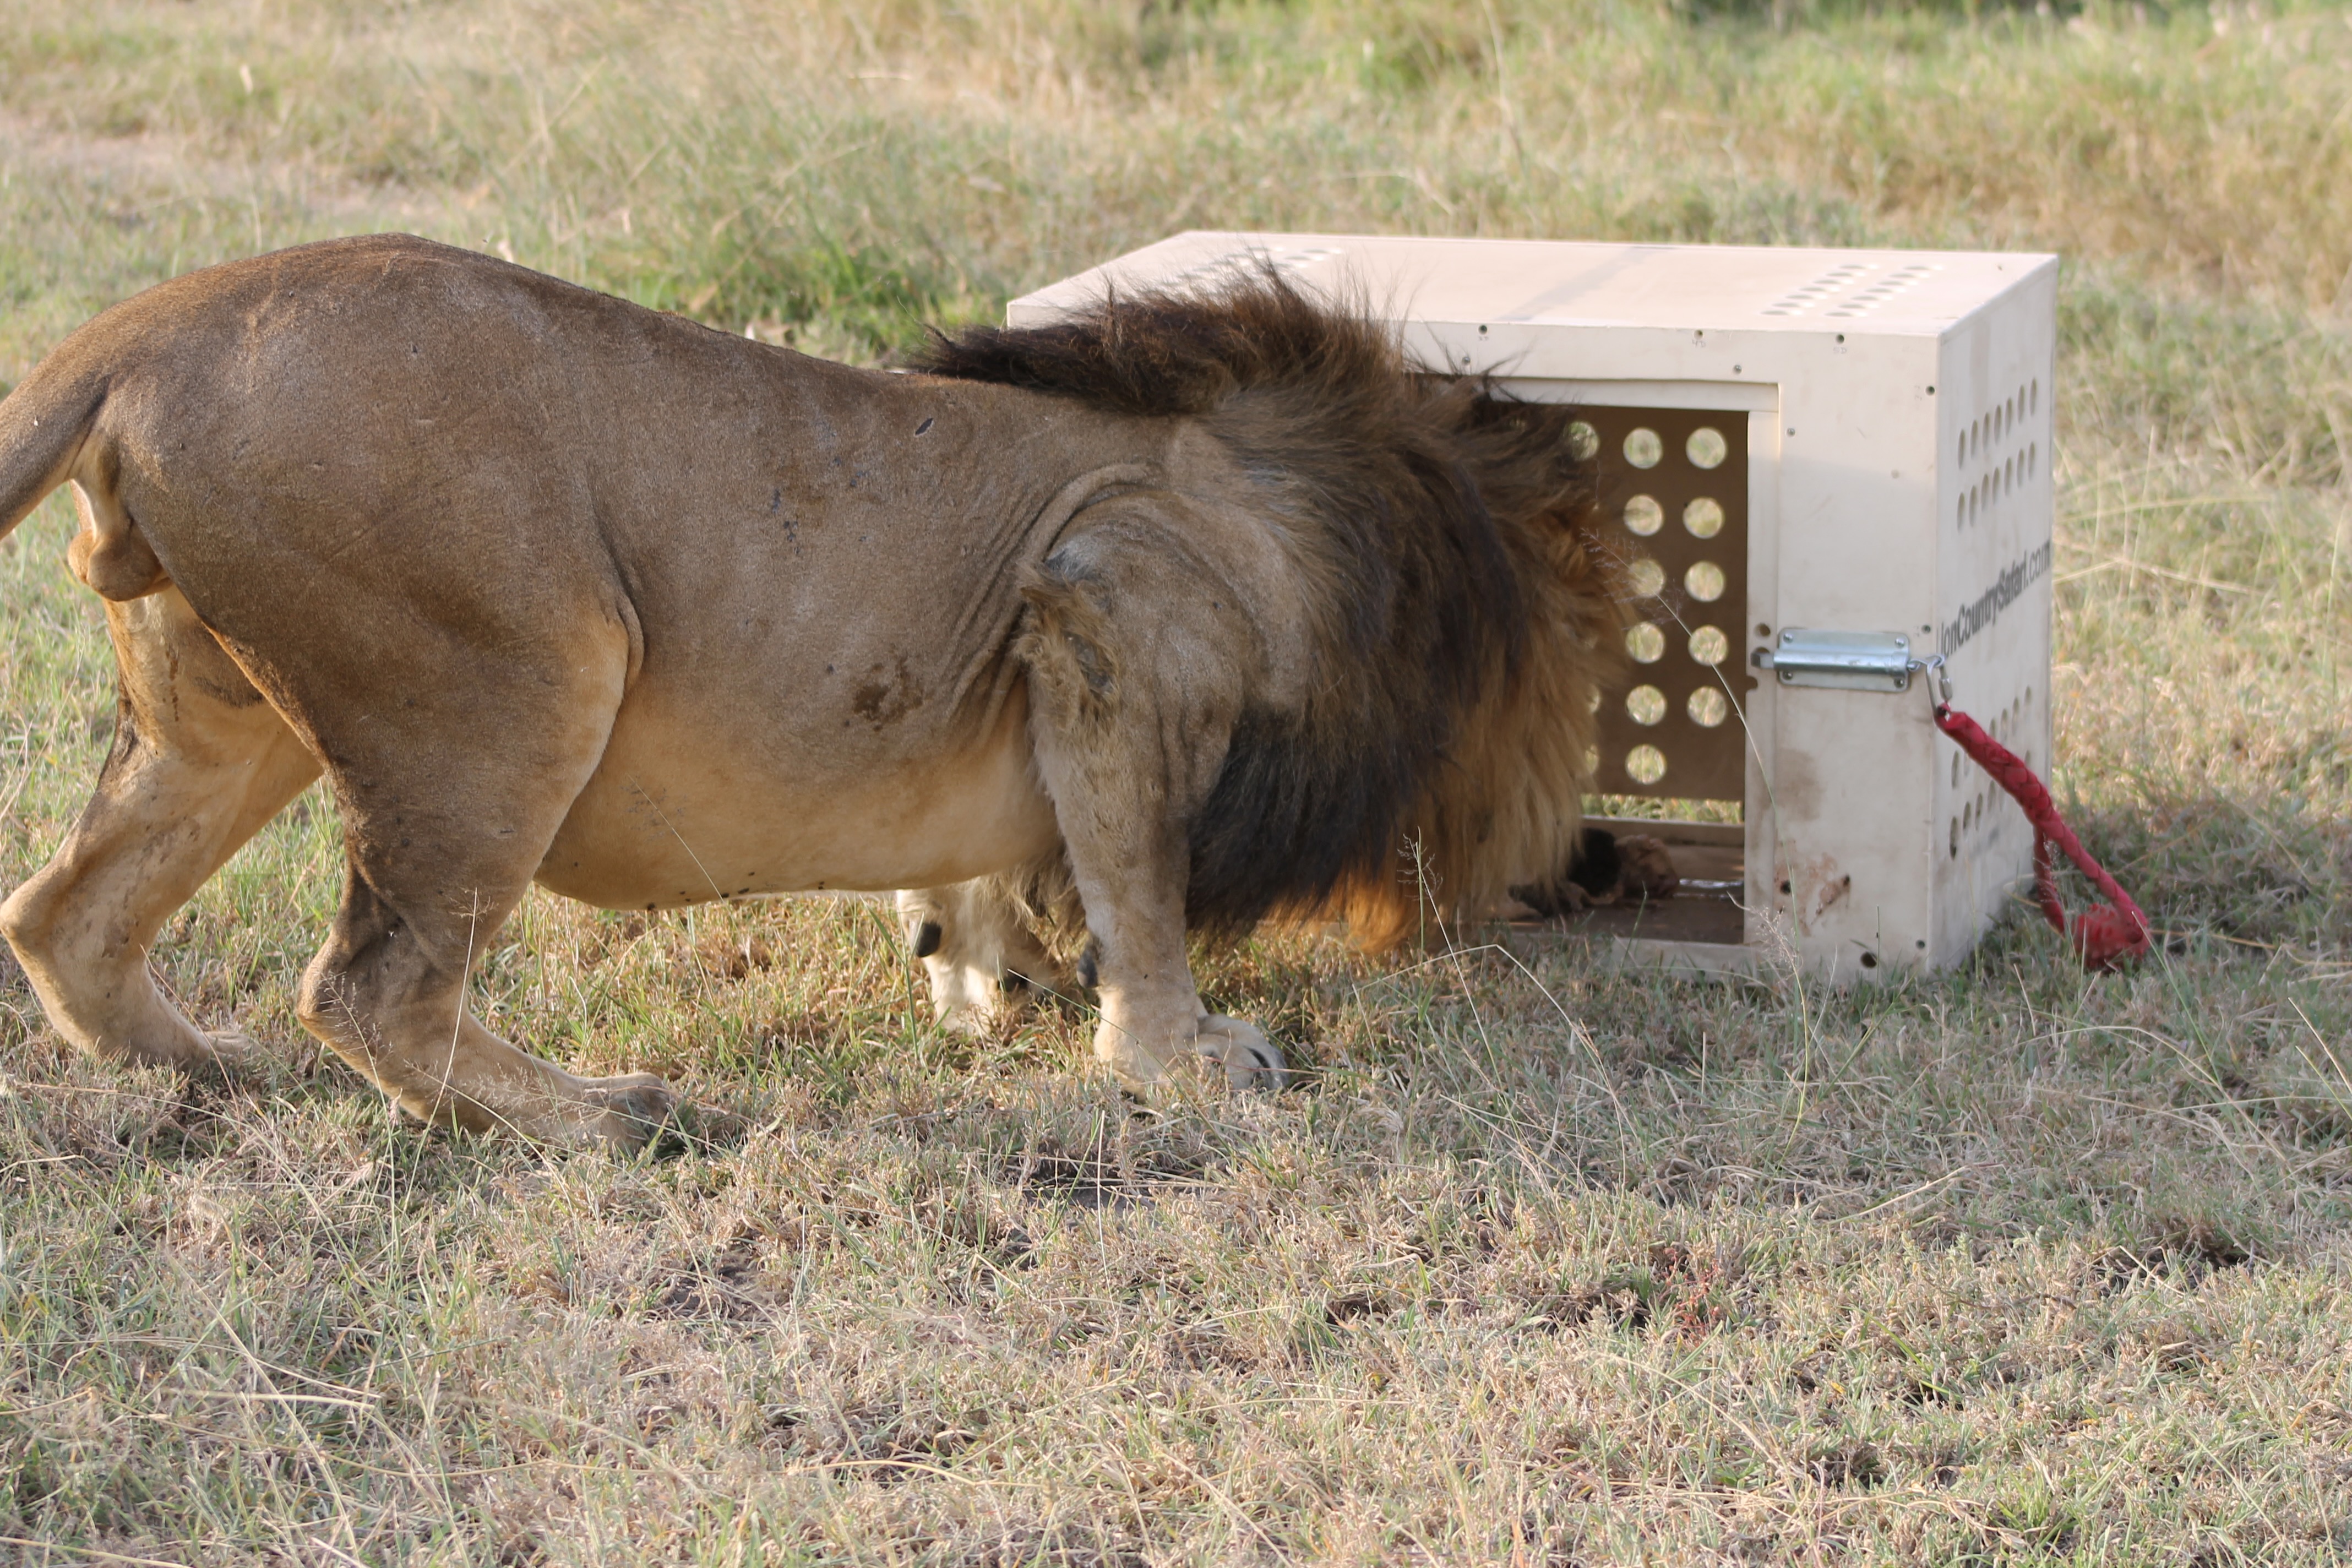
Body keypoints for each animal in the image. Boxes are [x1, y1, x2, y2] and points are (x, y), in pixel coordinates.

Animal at [0, 234, 1618, 1149]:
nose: (1589, 859)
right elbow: (1139, 882)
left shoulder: (1049, 646)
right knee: (371, 987)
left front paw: (981, 967)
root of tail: (142, 332)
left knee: (62, 911)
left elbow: (1003, 871)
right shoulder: (1113, 606)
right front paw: (1181, 1058)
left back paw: (208, 1077)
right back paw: (610, 1122)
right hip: (516, 683)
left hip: (219, 714)